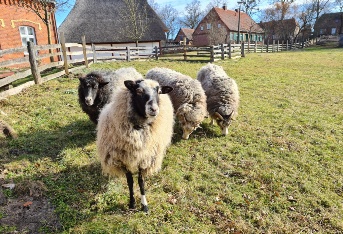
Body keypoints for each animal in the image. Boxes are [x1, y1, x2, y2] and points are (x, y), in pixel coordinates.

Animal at [97, 75, 175, 212]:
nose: (154, 109)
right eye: (138, 91)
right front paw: (132, 203)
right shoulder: (123, 159)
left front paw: (144, 205)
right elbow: (130, 182)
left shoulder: (145, 158)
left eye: (159, 91)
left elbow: (140, 181)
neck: (139, 128)